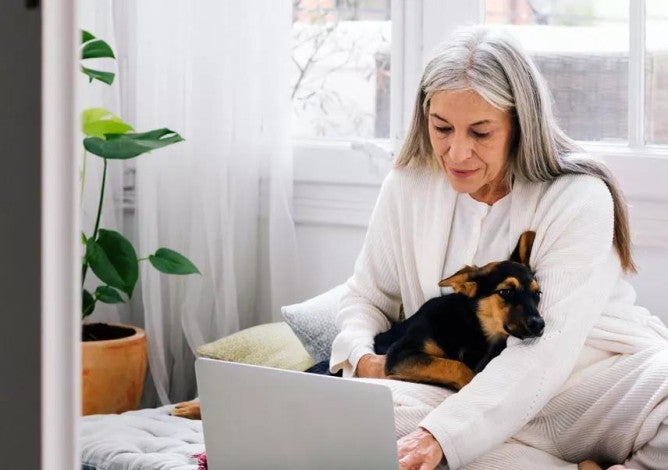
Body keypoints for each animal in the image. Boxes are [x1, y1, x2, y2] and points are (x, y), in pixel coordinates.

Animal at [374, 230, 544, 390]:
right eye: (506, 292)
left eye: (537, 294)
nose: (539, 324)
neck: (474, 326)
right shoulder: (399, 353)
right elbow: (456, 366)